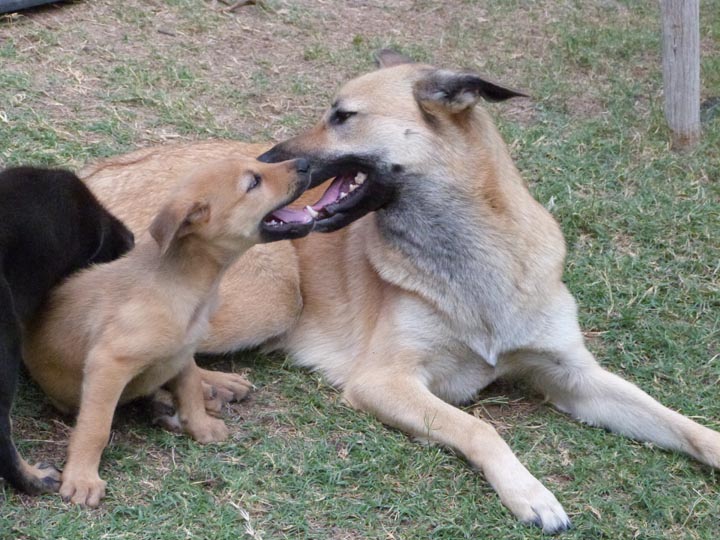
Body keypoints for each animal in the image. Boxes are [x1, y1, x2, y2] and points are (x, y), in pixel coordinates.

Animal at [24, 156, 312, 506]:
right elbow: (96, 427)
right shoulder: (108, 362)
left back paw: (216, 386)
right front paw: (82, 478)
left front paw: (201, 426)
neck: (186, 284)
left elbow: (189, 388)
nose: (304, 163)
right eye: (253, 182)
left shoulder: (183, 349)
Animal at [77, 52, 720, 532]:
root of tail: (92, 178)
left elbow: (679, 421)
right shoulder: (384, 381)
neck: (469, 255)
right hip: (271, 297)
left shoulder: (575, 377)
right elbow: (479, 428)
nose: (267, 161)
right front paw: (531, 493)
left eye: (343, 115)